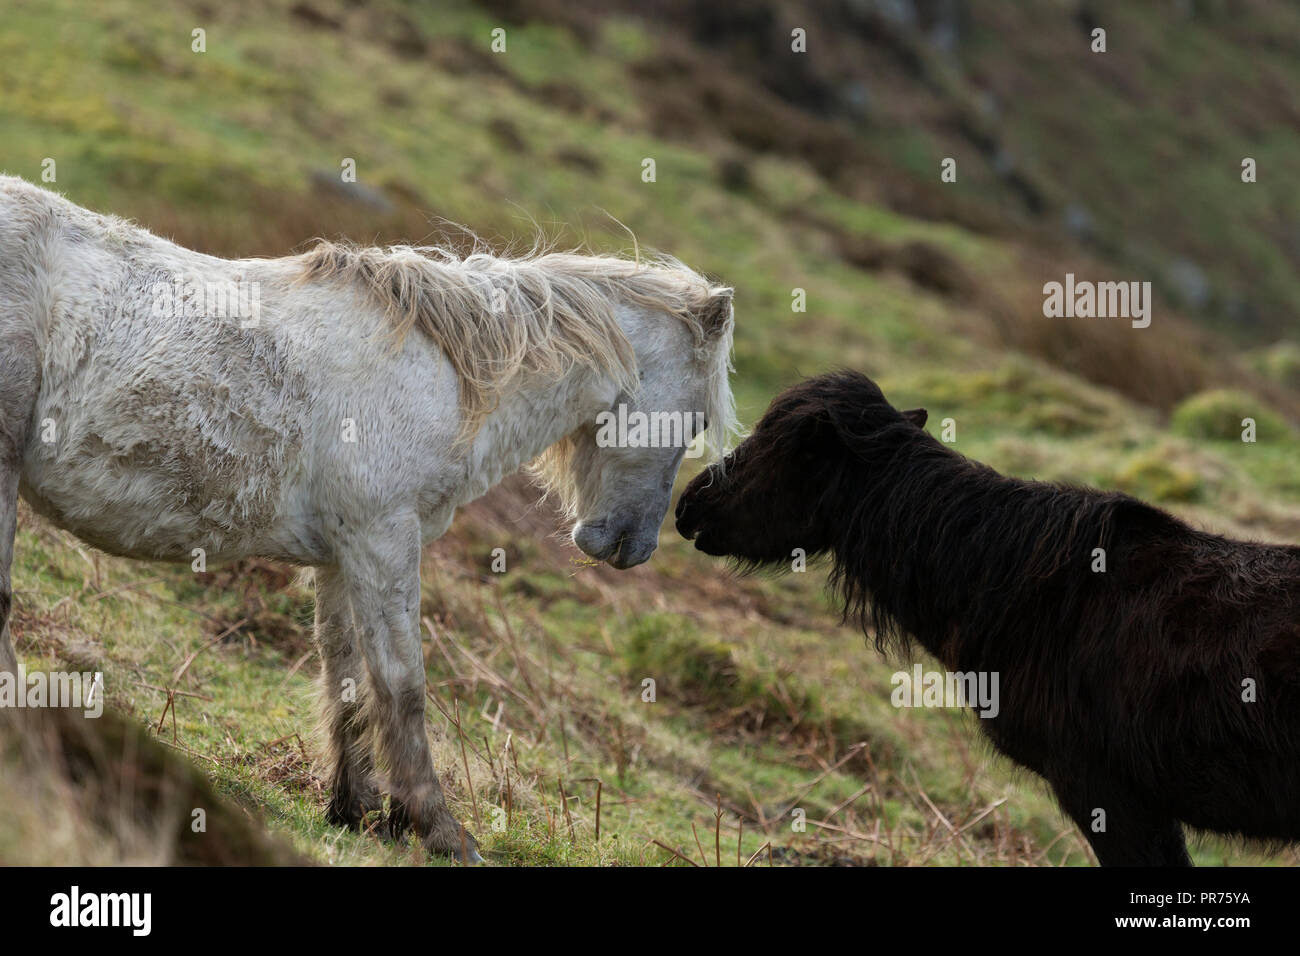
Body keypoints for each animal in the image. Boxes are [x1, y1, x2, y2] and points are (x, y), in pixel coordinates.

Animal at [0, 175, 736, 860]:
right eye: (697, 420)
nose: (631, 546)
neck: (445, 376)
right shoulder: (384, 540)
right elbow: (403, 684)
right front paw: (438, 829)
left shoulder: (340, 556)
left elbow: (349, 678)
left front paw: (357, 810)